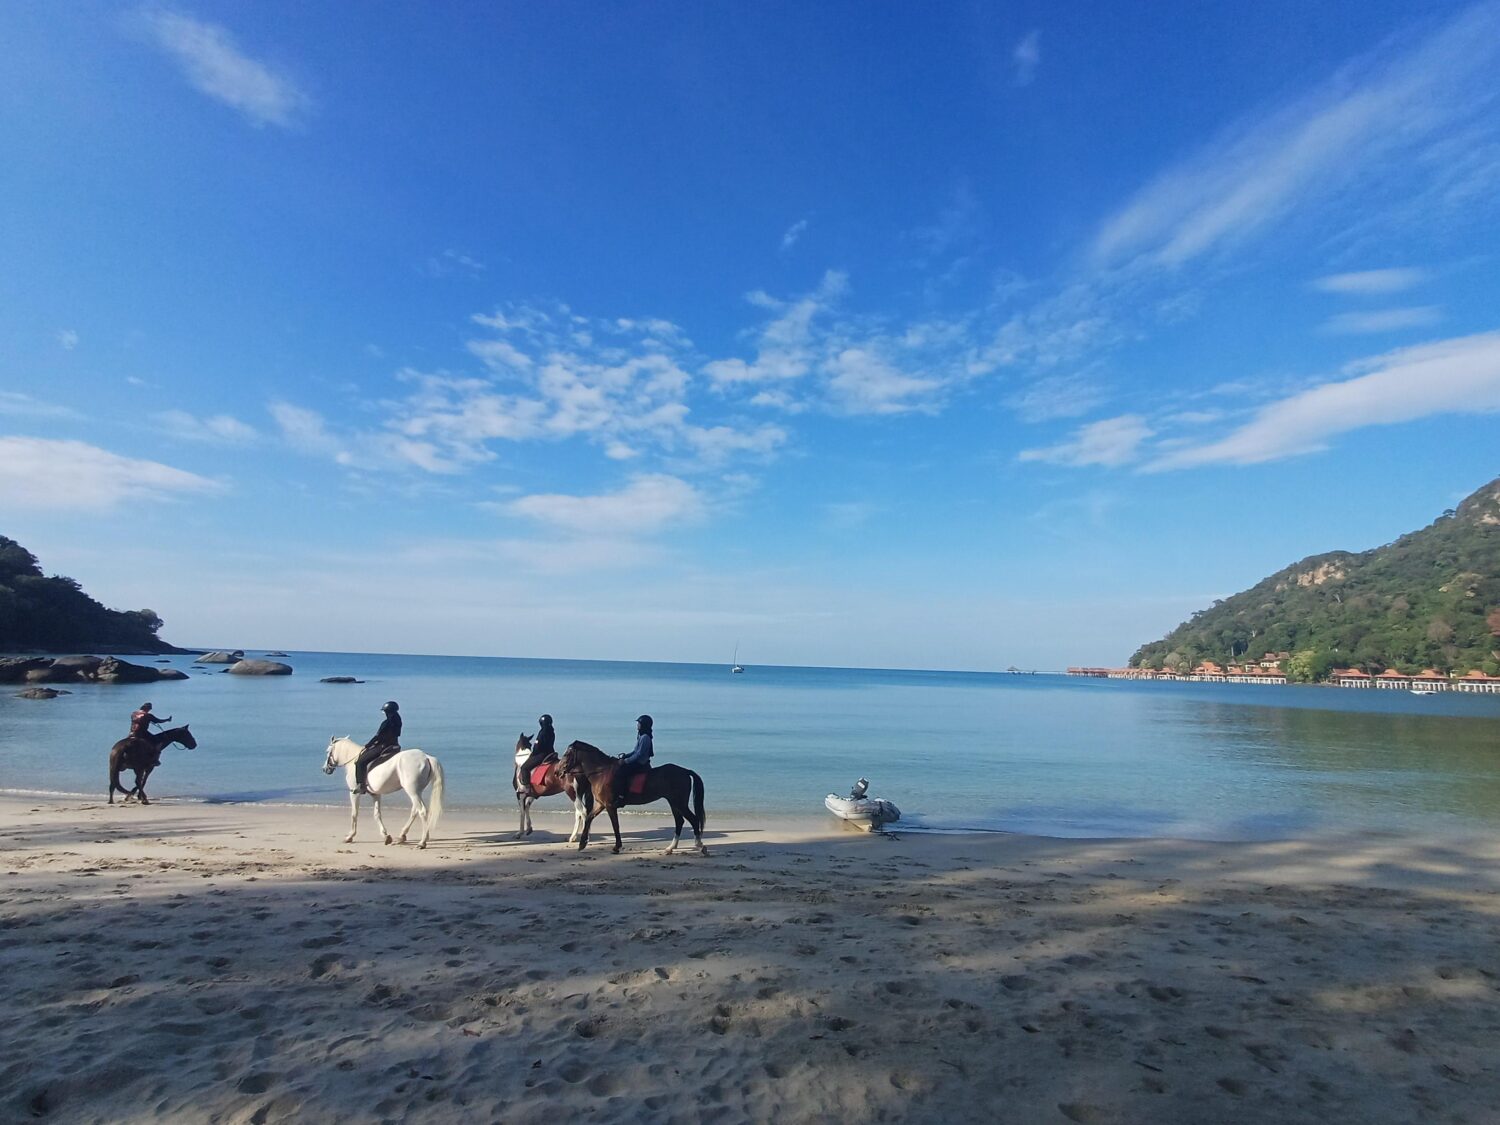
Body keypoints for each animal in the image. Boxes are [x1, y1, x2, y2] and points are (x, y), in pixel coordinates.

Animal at [557, 739, 707, 855]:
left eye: (567, 754)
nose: (558, 771)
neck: (601, 772)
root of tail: (685, 771)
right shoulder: (601, 804)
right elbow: (589, 818)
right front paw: (582, 844)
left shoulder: (610, 805)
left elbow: (615, 825)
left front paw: (616, 847)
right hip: (673, 802)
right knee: (679, 821)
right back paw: (670, 848)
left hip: (679, 802)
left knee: (693, 820)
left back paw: (700, 846)